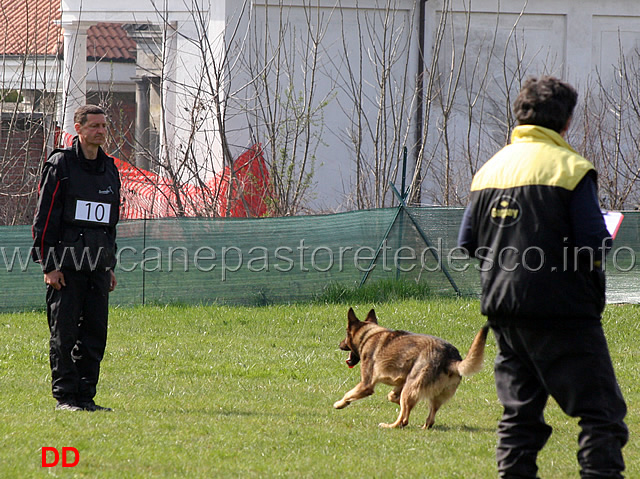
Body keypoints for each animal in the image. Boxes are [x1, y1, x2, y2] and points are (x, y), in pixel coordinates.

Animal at [332, 310, 488, 430]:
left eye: (346, 334)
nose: (339, 345)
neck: (368, 335)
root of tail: (450, 358)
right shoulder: (402, 381)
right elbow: (392, 395)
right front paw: (395, 399)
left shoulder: (366, 385)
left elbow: (348, 394)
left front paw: (339, 404)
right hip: (432, 395)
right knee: (429, 418)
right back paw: (423, 427)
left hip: (409, 389)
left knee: (404, 419)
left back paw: (390, 426)